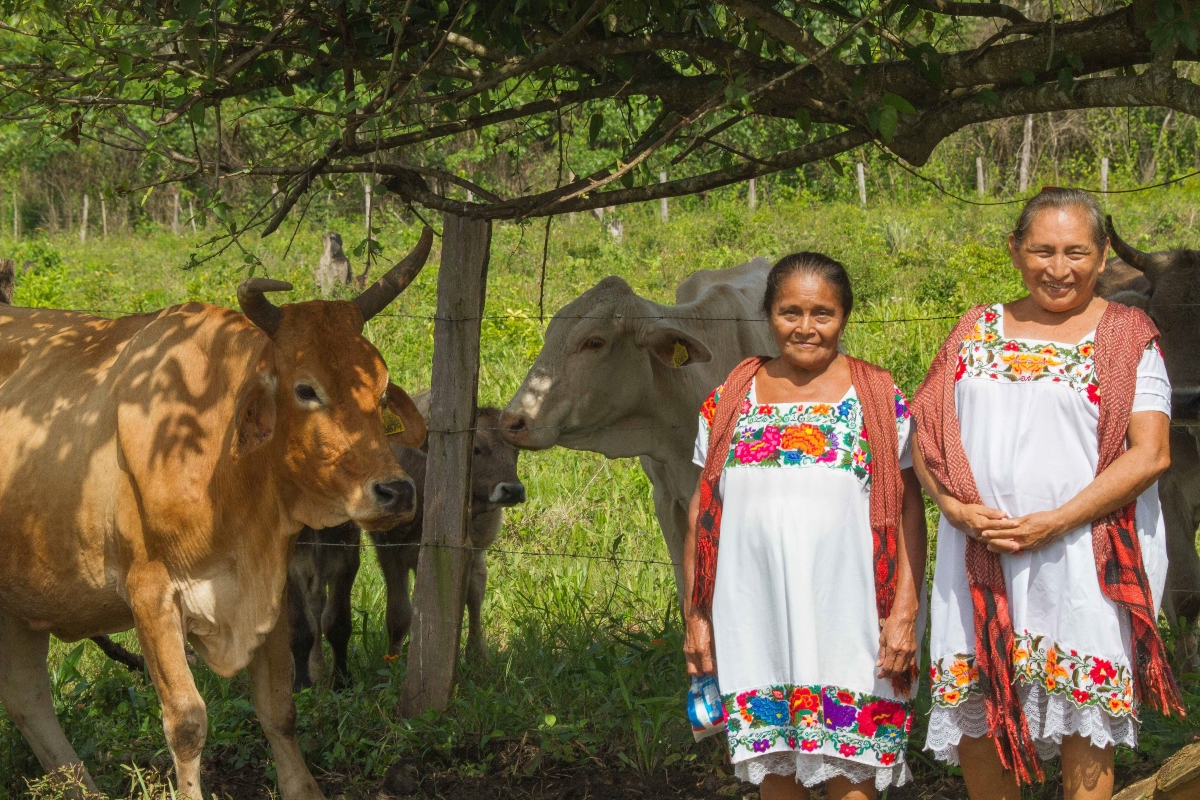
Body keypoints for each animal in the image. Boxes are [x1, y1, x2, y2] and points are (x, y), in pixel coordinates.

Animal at [0, 227, 432, 796]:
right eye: (306, 389)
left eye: (380, 391)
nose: (396, 492)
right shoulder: (150, 594)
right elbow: (186, 722)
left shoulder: (269, 586)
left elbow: (278, 708)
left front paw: (304, 788)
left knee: (26, 697)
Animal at [288, 407, 523, 690]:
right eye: (475, 448)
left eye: (516, 451)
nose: (513, 490)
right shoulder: (388, 551)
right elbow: (398, 615)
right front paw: (391, 668)